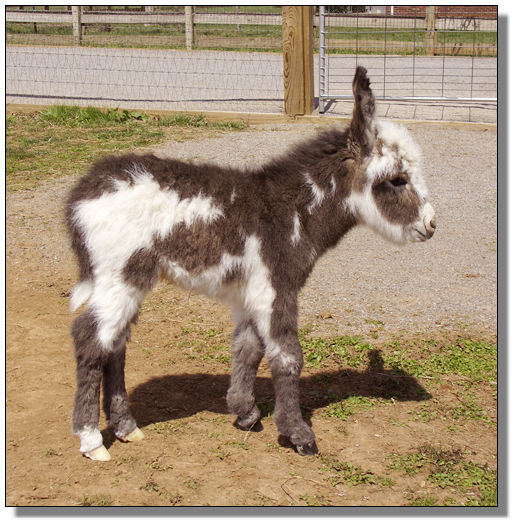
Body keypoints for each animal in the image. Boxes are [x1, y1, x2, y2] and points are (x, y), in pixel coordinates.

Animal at [66, 67, 436, 461]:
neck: (291, 212)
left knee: (115, 344)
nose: (432, 225)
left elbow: (248, 348)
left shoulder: (250, 293)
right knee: (90, 340)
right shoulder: (275, 286)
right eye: (397, 180)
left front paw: (244, 411)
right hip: (120, 277)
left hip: (129, 282)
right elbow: (287, 356)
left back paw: (125, 427)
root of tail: (84, 191)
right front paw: (298, 433)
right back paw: (91, 440)